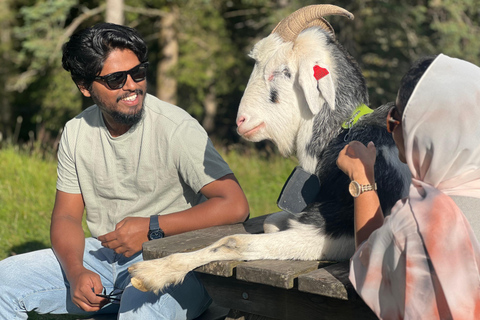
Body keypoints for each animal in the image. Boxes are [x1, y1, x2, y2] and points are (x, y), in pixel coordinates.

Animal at [129, 3, 410, 294]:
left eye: (281, 71)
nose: (241, 121)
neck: (343, 132)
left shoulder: (333, 231)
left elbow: (234, 241)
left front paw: (152, 271)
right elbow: (269, 222)